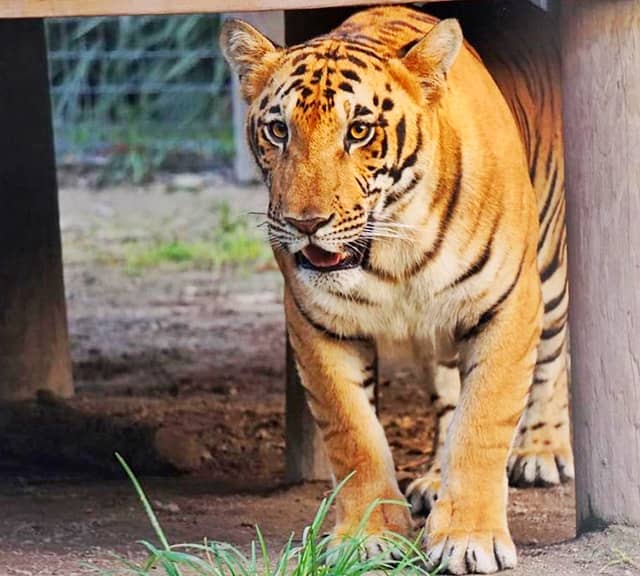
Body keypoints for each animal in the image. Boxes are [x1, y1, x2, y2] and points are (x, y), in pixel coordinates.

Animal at [222, 3, 572, 572]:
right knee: (448, 397)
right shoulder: (318, 323)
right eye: (277, 131)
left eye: (359, 131)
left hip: (549, 269)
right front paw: (368, 537)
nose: (304, 223)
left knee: (553, 359)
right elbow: (354, 434)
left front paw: (469, 539)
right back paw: (433, 478)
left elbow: (483, 421)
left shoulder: (508, 305)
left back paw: (541, 452)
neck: (394, 254)